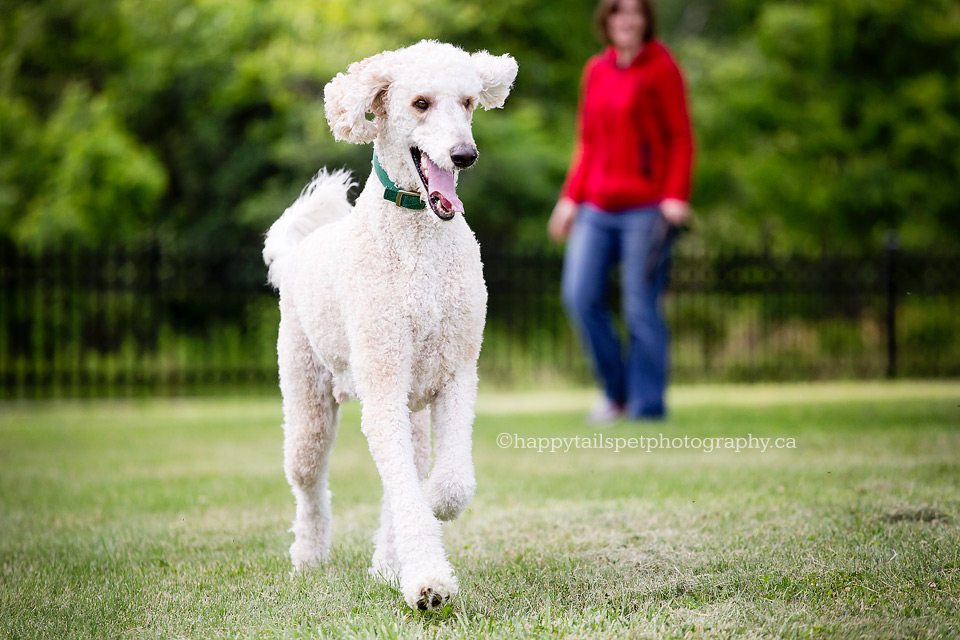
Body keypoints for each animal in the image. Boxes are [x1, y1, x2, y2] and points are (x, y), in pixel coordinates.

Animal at [260, 40, 516, 608]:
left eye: (468, 102)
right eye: (420, 103)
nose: (464, 154)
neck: (419, 232)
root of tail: (294, 255)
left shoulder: (457, 373)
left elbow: (448, 485)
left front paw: (433, 511)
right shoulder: (382, 386)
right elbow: (405, 492)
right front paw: (428, 583)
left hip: (412, 410)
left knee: (402, 479)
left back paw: (385, 559)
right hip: (308, 402)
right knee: (309, 482)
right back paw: (309, 557)